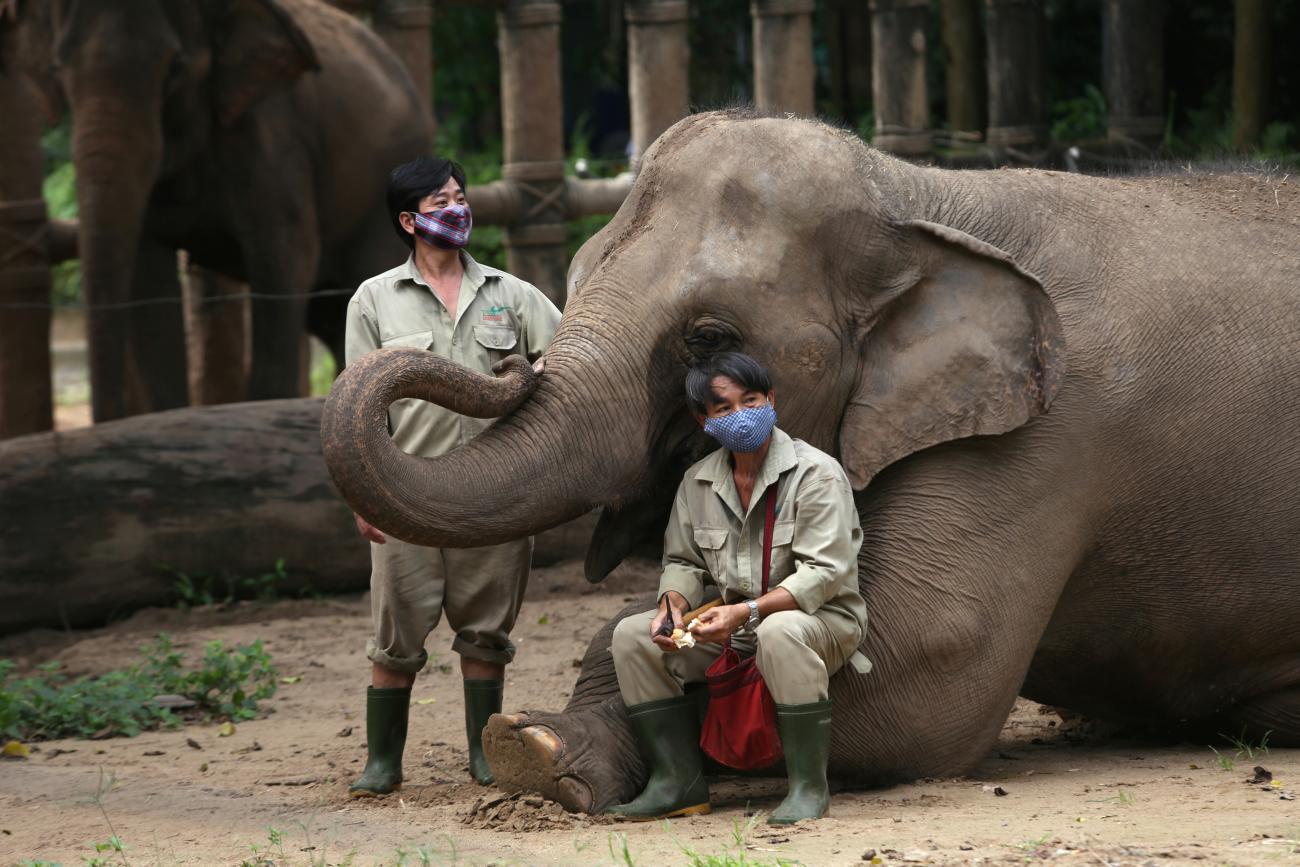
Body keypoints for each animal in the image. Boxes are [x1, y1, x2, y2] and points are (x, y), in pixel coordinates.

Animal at [322, 110, 1300, 816]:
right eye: (578, 274)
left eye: (708, 334)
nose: (513, 364)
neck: (929, 197)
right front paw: (534, 742)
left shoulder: (1051, 431)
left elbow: (931, 663)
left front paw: (538, 752)